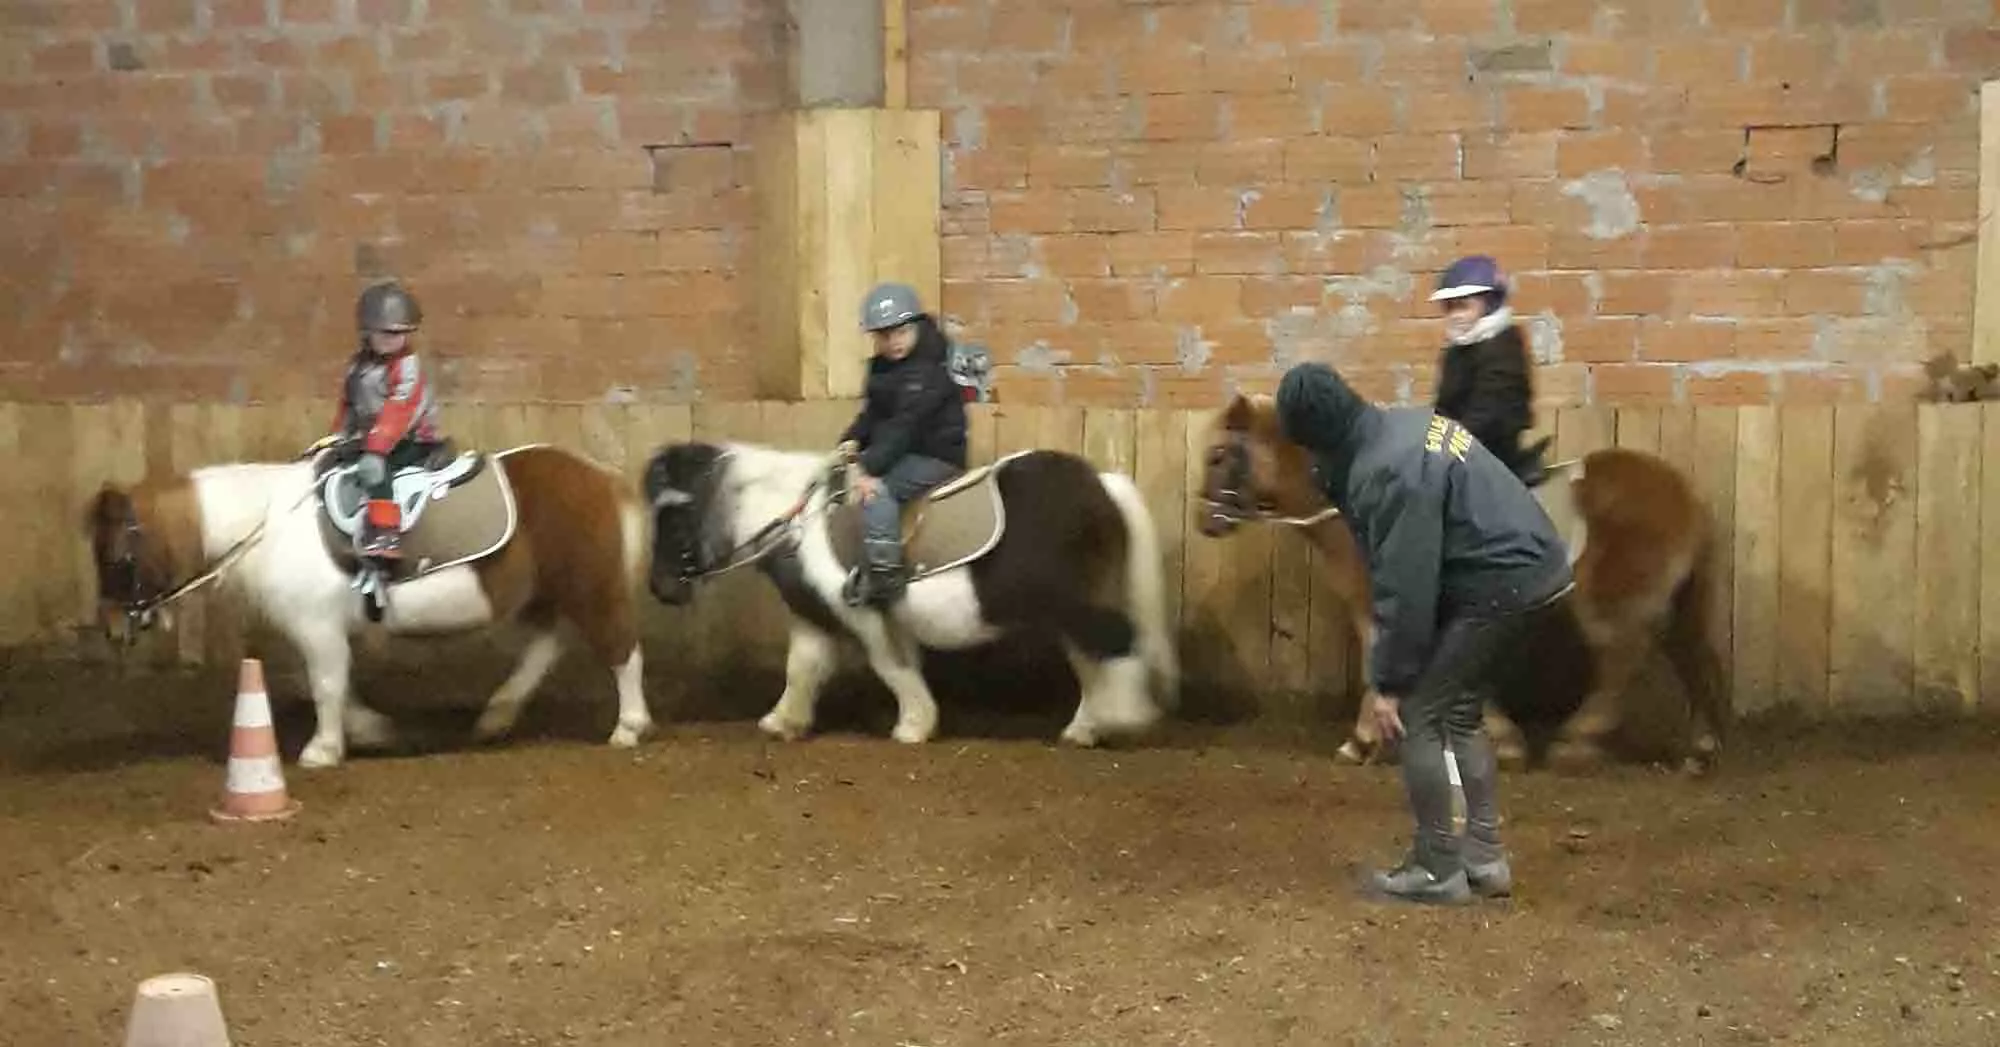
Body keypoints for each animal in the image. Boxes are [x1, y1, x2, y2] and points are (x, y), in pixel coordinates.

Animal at [86, 441, 652, 767]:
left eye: (117, 558)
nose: (111, 628)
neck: (269, 525)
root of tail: (598, 475)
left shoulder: (316, 628)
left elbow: (326, 685)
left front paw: (322, 749)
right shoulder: (317, 632)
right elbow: (321, 683)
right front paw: (373, 731)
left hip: (591, 588)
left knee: (621, 651)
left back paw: (628, 726)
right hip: (549, 592)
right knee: (547, 643)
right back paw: (498, 714)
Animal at [640, 439, 1176, 743]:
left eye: (674, 516)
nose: (660, 589)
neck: (800, 525)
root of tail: (1100, 485)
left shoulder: (867, 616)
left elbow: (892, 669)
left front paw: (914, 725)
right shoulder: (815, 617)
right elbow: (803, 669)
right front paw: (784, 722)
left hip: (1077, 605)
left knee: (1113, 646)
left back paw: (1123, 717)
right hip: (1068, 611)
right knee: (1094, 662)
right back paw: (1086, 728)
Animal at [1192, 397, 1728, 771]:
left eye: (1218, 455)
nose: (1204, 522)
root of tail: (1685, 493)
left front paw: (1367, 741)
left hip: (1611, 605)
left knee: (1622, 660)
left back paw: (1578, 740)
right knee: (1687, 655)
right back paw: (1698, 750)